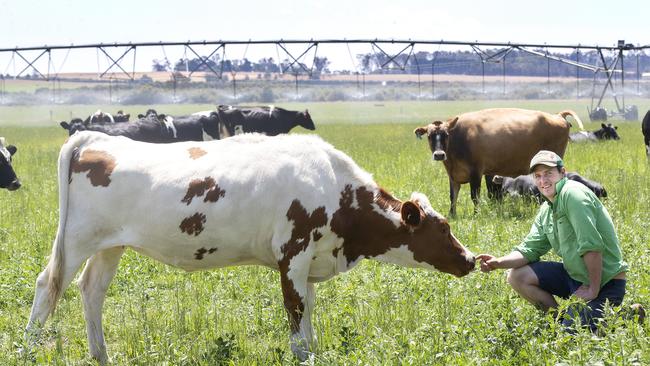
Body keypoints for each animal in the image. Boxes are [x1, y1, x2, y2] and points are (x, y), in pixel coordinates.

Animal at [25, 130, 474, 362]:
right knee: (47, 287)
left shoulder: (310, 261)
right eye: (444, 227)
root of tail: (96, 137)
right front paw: (302, 355)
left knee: (91, 291)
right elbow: (295, 313)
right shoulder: (292, 254)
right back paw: (27, 350)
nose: (470, 259)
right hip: (76, 240)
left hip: (110, 245)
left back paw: (101, 355)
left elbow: (309, 314)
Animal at [416, 108, 584, 217]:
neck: (458, 138)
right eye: (430, 136)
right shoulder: (453, 175)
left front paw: (476, 215)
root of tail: (557, 116)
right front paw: (452, 215)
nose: (439, 154)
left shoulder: (476, 172)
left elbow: (475, 196)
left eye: (445, 134)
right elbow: (453, 196)